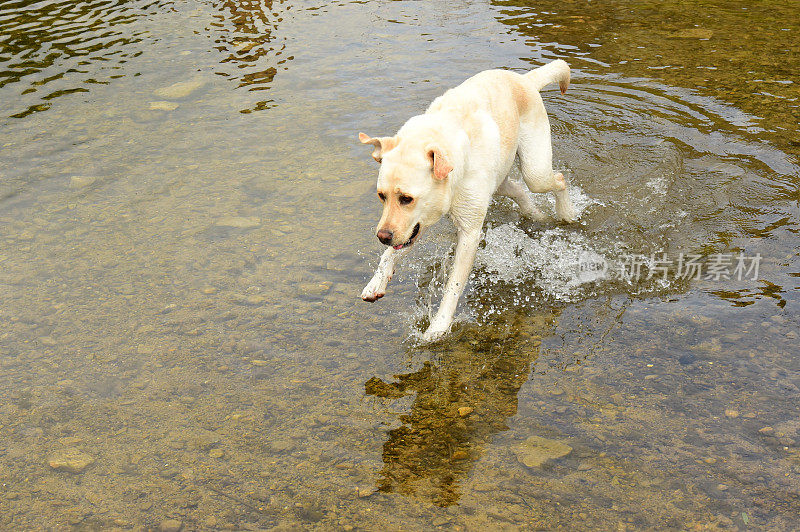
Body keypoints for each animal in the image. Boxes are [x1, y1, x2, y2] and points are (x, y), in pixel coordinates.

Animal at [358, 59, 576, 340]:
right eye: (381, 196)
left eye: (406, 198)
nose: (382, 236)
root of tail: (524, 80)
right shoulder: (416, 224)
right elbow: (390, 254)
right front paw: (376, 283)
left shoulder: (469, 233)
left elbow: (453, 286)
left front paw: (438, 326)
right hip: (500, 181)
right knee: (519, 190)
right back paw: (535, 214)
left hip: (535, 170)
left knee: (557, 179)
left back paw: (567, 213)